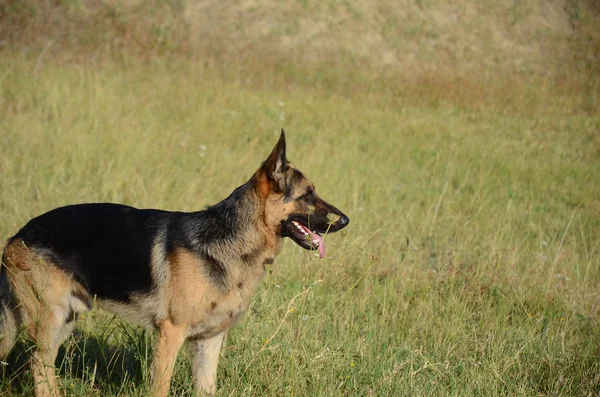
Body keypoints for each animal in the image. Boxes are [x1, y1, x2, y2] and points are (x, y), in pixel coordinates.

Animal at [0, 131, 350, 394]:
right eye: (307, 195)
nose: (346, 221)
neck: (231, 239)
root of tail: (18, 234)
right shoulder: (171, 334)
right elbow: (161, 387)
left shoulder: (209, 341)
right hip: (52, 319)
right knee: (39, 364)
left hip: (65, 319)